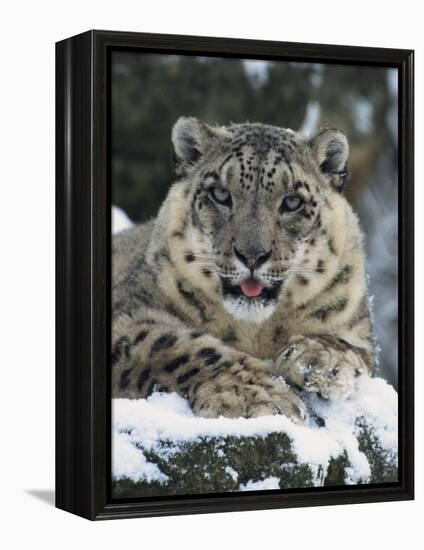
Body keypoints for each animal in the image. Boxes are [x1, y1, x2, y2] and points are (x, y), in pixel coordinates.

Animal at [112, 118, 374, 424]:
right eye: (220, 195)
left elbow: (351, 346)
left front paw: (320, 361)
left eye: (293, 202)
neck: (255, 331)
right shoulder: (127, 312)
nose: (252, 255)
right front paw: (256, 394)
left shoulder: (356, 326)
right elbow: (173, 345)